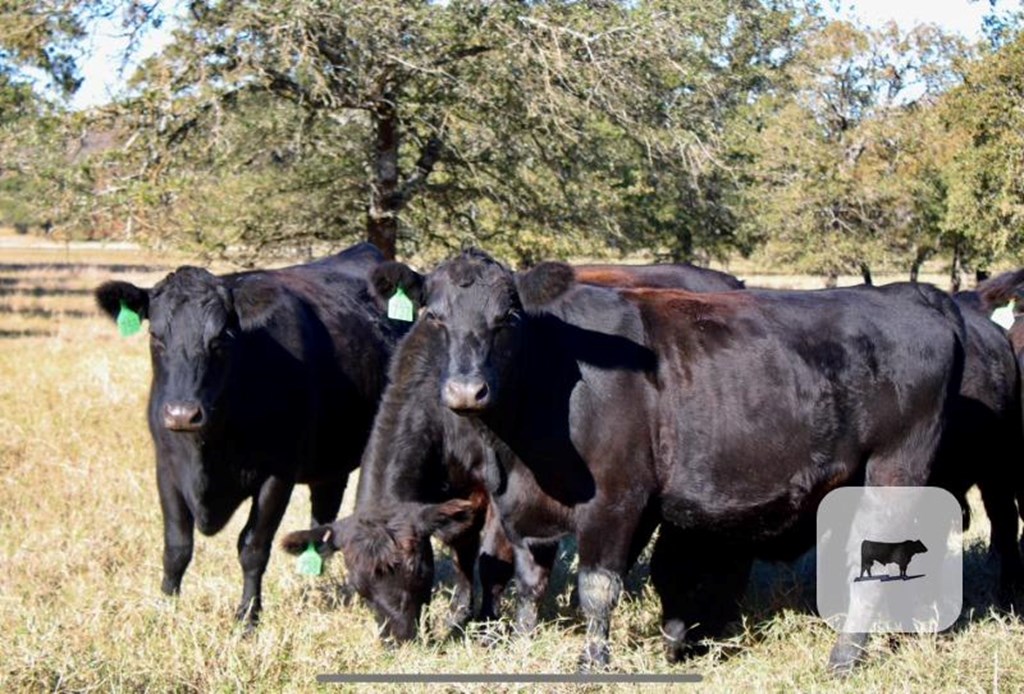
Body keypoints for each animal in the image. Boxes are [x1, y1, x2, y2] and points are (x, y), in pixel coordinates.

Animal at [290, 251, 966, 675]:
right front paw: (520, 642)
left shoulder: (616, 499)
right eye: (433, 316)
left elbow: (594, 589)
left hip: (895, 472)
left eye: (507, 318)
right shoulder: (517, 503)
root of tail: (914, 296)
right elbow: (527, 580)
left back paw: (843, 658)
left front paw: (592, 661)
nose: (464, 392)